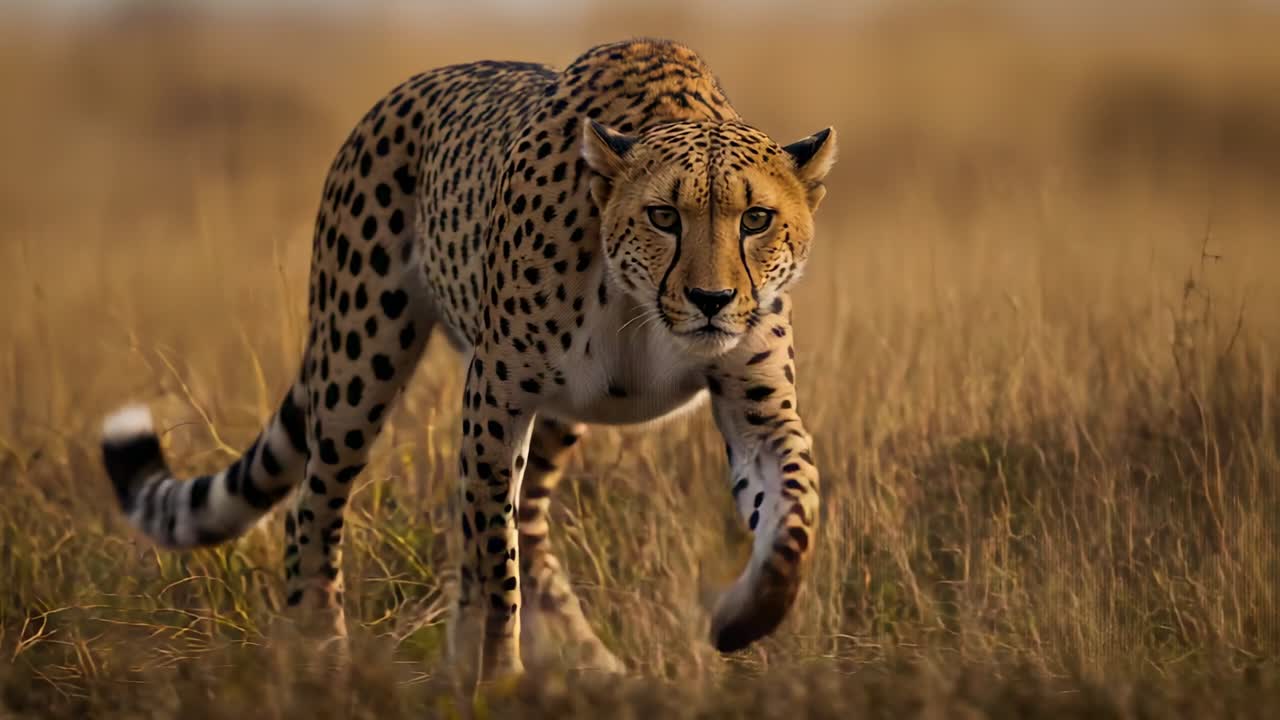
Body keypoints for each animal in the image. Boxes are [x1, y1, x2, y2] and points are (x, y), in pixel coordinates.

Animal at [99, 37, 836, 683]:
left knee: (524, 522)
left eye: (756, 219)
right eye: (663, 216)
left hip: (558, 412)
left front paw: (745, 618)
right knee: (317, 505)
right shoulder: (495, 398)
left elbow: (795, 512)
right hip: (358, 363)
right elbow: (494, 565)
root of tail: (405, 90)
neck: (640, 305)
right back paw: (323, 656)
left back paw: (590, 663)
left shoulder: (757, 413)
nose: (711, 300)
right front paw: (498, 680)